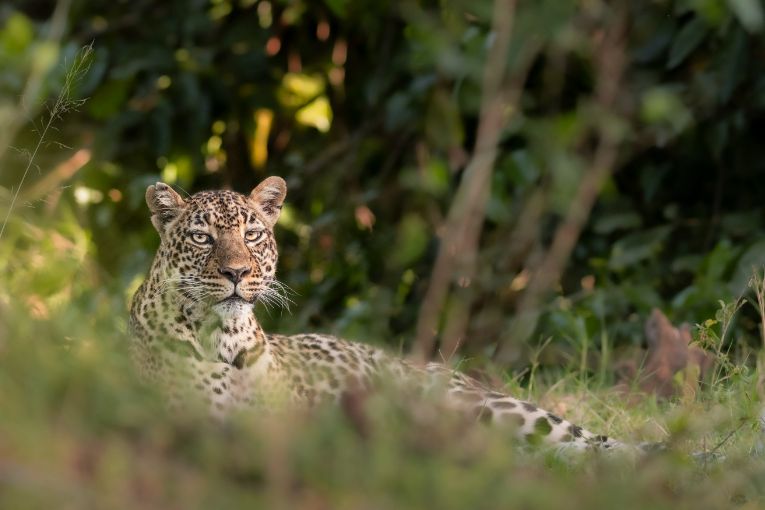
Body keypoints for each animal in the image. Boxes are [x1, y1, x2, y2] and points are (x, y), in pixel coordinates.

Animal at [130, 178, 640, 454]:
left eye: (252, 234)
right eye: (202, 238)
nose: (236, 272)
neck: (227, 337)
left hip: (475, 403)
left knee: (584, 440)